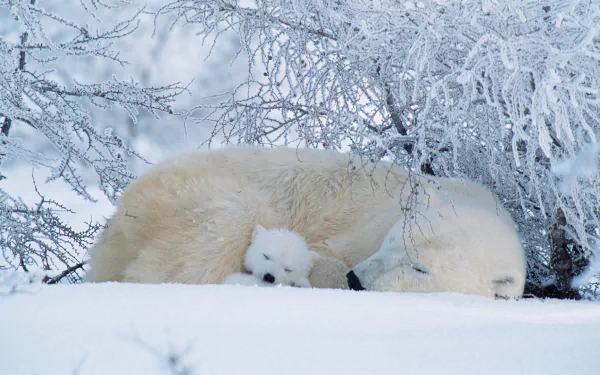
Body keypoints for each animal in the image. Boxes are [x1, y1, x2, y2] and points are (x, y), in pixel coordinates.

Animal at [85, 145, 524, 298]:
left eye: (420, 267)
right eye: (390, 241)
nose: (356, 280)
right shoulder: (363, 226)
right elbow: (321, 253)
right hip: (192, 194)